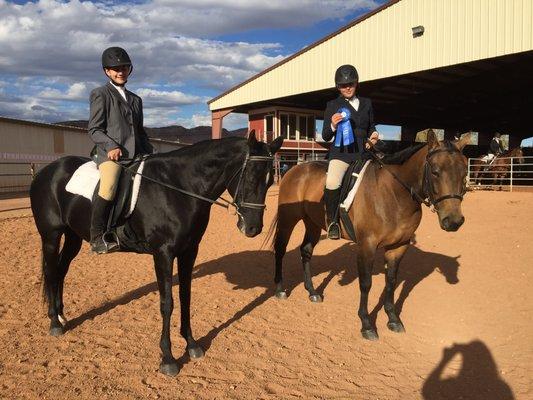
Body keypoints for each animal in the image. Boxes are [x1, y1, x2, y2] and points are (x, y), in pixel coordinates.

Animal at [30, 131, 282, 376]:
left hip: (73, 236)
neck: (179, 188)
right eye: (251, 178)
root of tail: (46, 171)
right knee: (51, 271)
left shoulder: (189, 251)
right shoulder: (163, 254)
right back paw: (54, 323)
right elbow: (167, 303)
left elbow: (185, 296)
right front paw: (168, 359)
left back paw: (61, 316)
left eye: (270, 180)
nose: (253, 229)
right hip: (51, 235)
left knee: (61, 271)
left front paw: (192, 345)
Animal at [268, 131, 468, 340]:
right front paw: (366, 324)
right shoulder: (367, 246)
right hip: (288, 219)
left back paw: (312, 291)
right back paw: (280, 290)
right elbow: (366, 283)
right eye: (435, 171)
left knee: (306, 251)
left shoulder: (399, 246)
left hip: (313, 223)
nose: (454, 221)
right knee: (280, 250)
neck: (394, 193)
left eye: (464, 173)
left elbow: (391, 282)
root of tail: (295, 169)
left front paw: (393, 319)